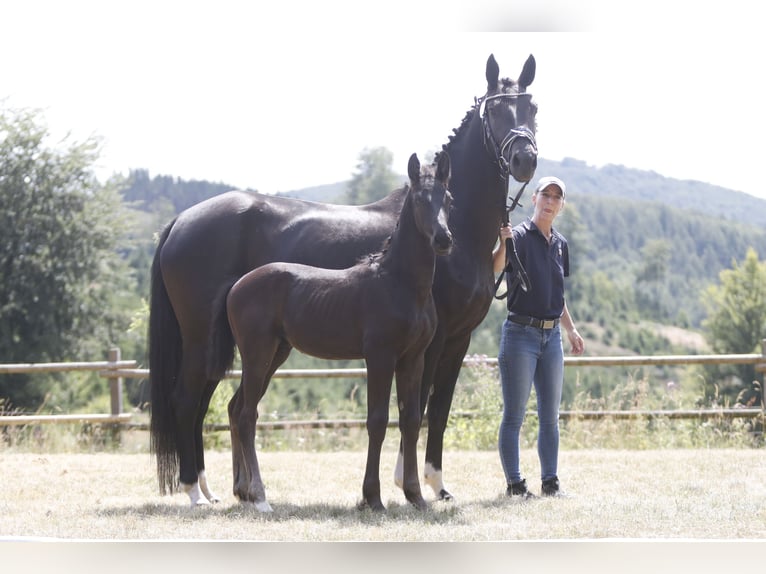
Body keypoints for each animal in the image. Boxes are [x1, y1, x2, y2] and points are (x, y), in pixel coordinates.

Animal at [210, 153, 452, 512]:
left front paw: (415, 496)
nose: (444, 239)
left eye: (448, 199)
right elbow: (377, 420)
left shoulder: (414, 358)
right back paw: (260, 497)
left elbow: (409, 420)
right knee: (247, 415)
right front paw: (372, 497)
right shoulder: (379, 357)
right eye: (421, 199)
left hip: (276, 354)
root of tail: (236, 285)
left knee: (237, 408)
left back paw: (245, 492)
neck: (400, 284)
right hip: (257, 354)